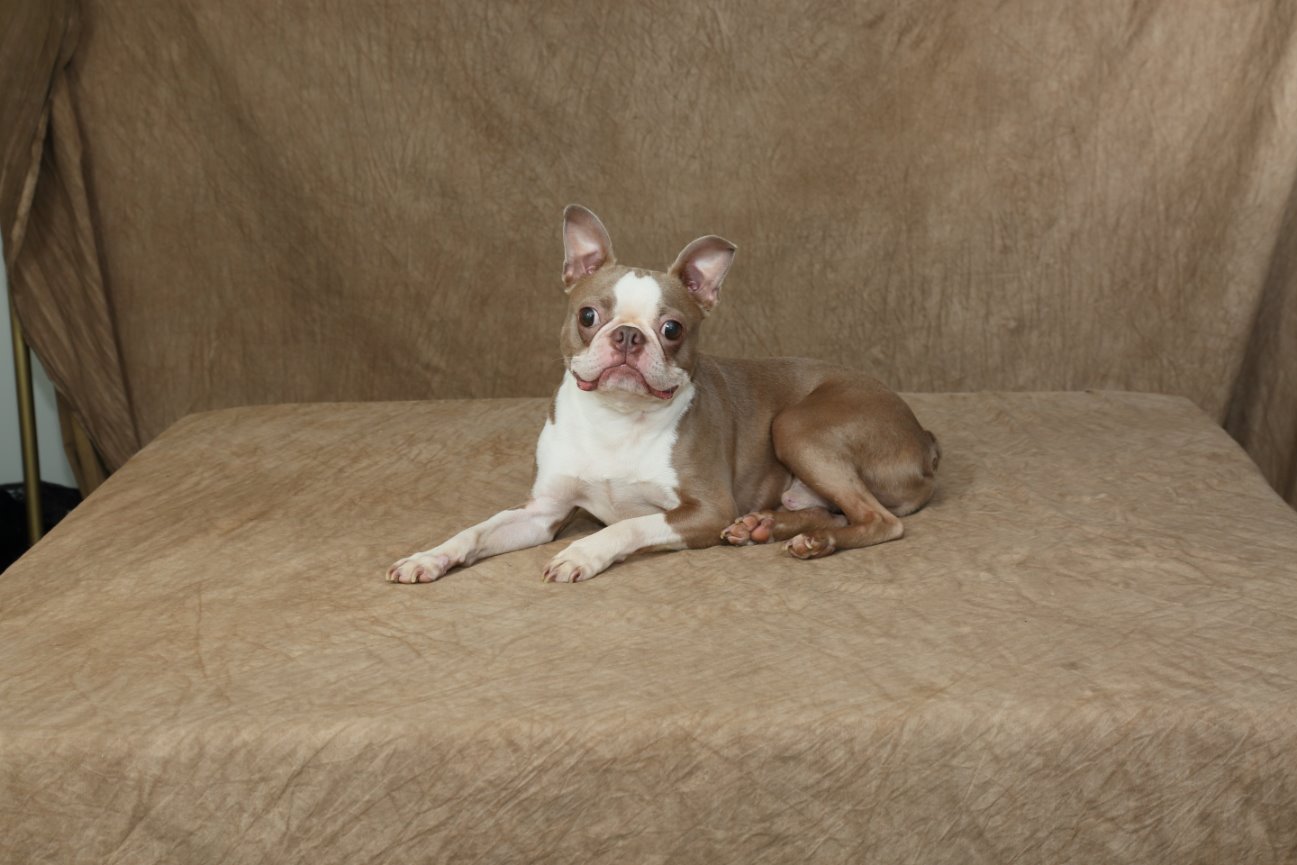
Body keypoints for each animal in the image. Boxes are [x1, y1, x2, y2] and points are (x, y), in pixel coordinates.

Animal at [387, 205, 939, 584]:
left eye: (672, 329)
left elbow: (625, 526)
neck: (616, 419)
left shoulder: (704, 511)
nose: (630, 336)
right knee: (834, 509)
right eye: (589, 315)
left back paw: (812, 542)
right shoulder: (541, 513)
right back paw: (763, 526)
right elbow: (477, 530)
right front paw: (429, 556)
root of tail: (924, 438)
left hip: (798, 426)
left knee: (880, 520)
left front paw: (583, 552)